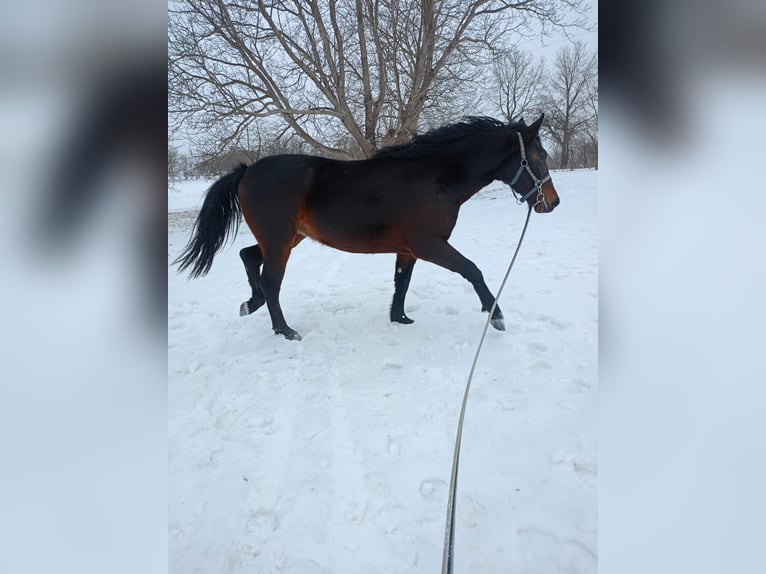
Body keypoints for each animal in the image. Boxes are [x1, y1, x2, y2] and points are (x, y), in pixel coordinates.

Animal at [175, 114, 559, 340]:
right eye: (539, 157)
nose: (552, 203)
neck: (436, 178)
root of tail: (247, 171)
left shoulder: (408, 248)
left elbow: (402, 282)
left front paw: (400, 318)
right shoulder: (429, 244)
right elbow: (472, 270)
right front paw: (497, 317)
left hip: (286, 240)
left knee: (248, 257)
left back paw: (250, 304)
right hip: (281, 241)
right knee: (270, 281)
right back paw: (285, 330)